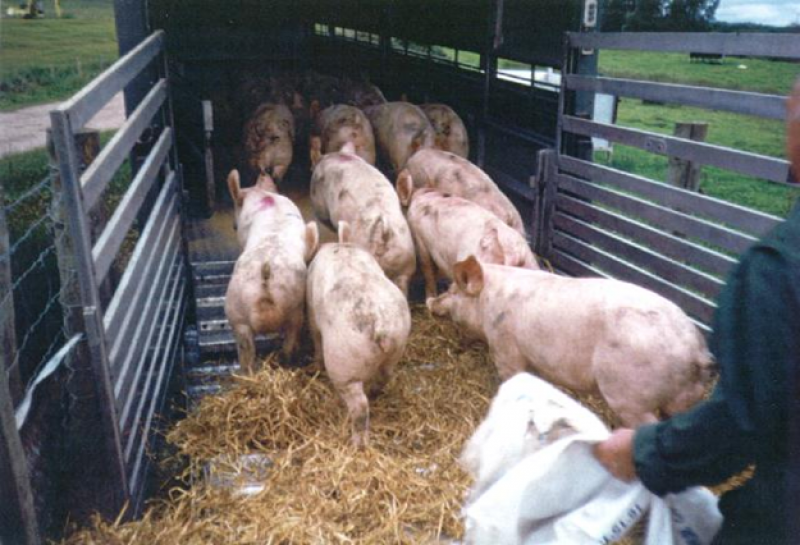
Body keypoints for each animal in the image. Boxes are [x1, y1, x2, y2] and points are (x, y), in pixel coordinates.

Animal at [225, 170, 318, 374]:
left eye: (236, 204)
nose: (233, 226)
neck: (262, 195)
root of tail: (265, 280)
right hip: (278, 311)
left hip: (238, 314)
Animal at [304, 222, 410, 446]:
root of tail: (380, 325)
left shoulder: (310, 310)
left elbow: (315, 336)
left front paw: (313, 367)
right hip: (397, 344)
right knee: (385, 375)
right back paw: (374, 393)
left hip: (343, 364)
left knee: (359, 405)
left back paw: (357, 443)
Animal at [428, 258, 716, 428]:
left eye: (452, 290)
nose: (431, 302)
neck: (489, 302)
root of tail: (696, 349)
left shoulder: (505, 347)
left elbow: (511, 378)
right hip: (686, 398)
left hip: (631, 395)